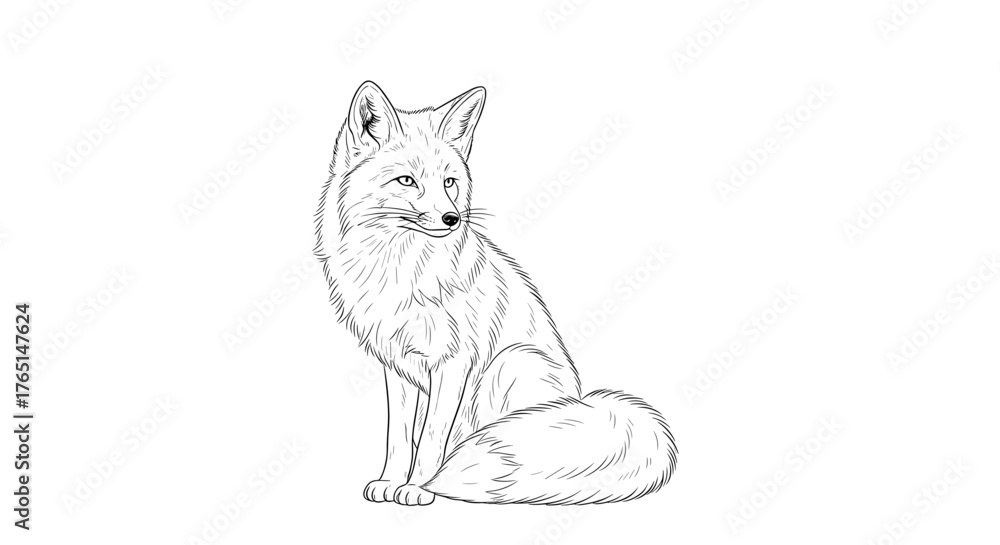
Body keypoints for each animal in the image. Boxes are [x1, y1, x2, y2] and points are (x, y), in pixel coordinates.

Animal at [313, 81, 677, 506]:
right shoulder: (397, 366)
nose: (452, 219)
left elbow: (431, 438)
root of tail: (581, 402)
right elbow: (399, 438)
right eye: (406, 181)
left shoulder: (453, 362)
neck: (399, 268)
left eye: (449, 182)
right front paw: (390, 482)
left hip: (510, 365)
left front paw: (418, 487)